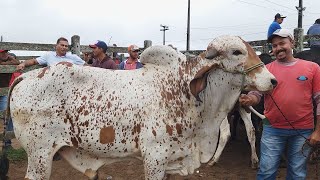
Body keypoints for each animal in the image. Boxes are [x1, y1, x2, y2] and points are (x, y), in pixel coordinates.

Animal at [8, 35, 276, 180]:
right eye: (237, 51)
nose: (272, 80)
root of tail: (25, 77)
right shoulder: (154, 158)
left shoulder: (171, 159)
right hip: (40, 156)